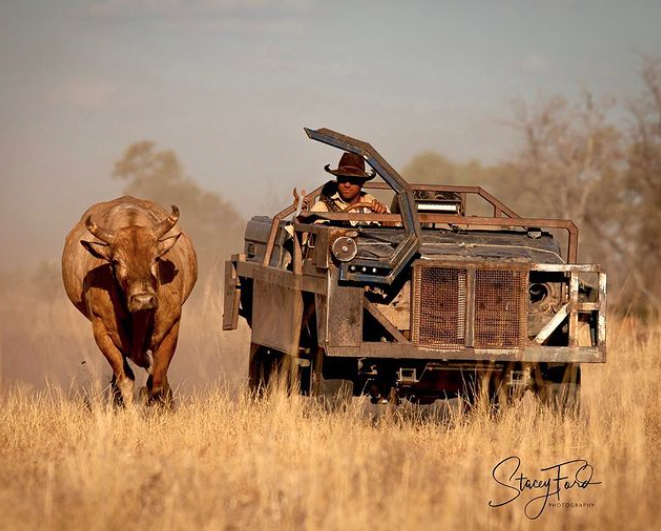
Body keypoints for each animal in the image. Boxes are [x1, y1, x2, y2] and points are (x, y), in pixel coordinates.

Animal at [62, 196, 198, 405]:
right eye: (116, 261)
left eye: (156, 257)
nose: (143, 299)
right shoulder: (102, 332)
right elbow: (125, 380)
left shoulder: (171, 327)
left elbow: (156, 382)